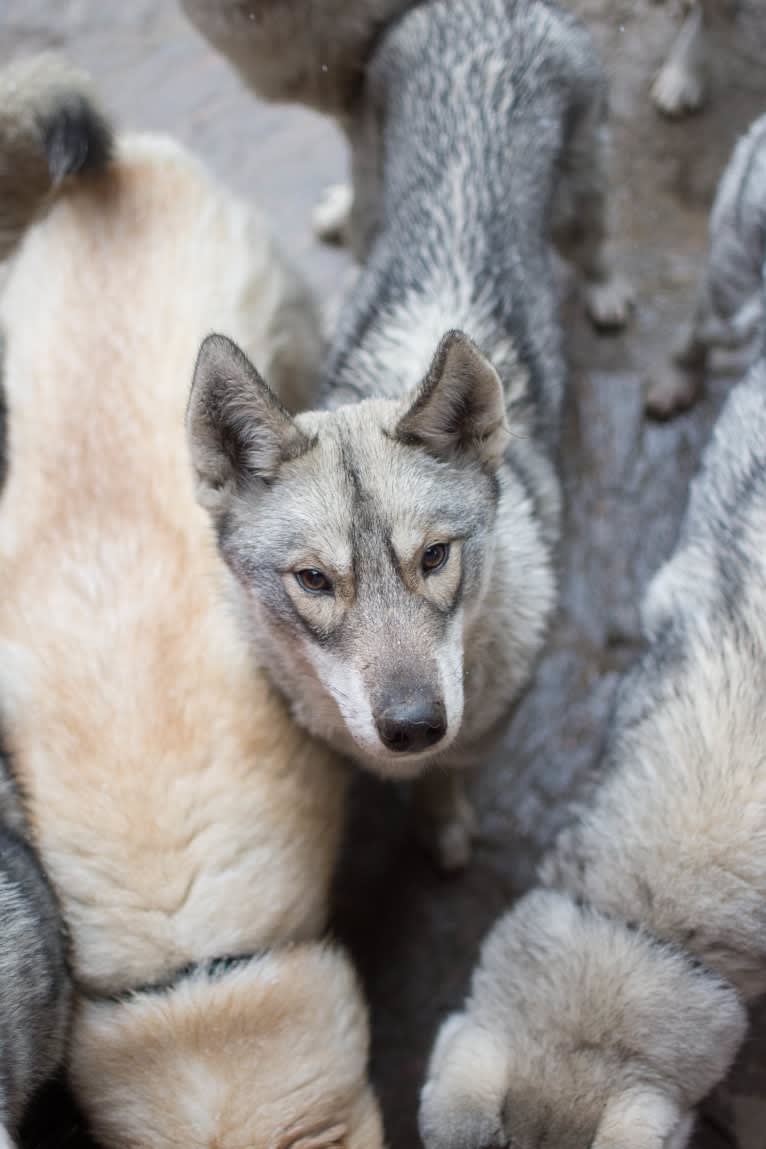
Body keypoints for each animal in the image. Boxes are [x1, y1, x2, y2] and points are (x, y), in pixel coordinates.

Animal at [182, 0, 633, 868]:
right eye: (314, 580)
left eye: (434, 558)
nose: (413, 725)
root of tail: (482, 10)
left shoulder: (480, 732)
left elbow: (448, 775)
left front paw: (445, 823)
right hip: (370, 193)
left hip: (585, 200)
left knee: (594, 245)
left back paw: (606, 293)